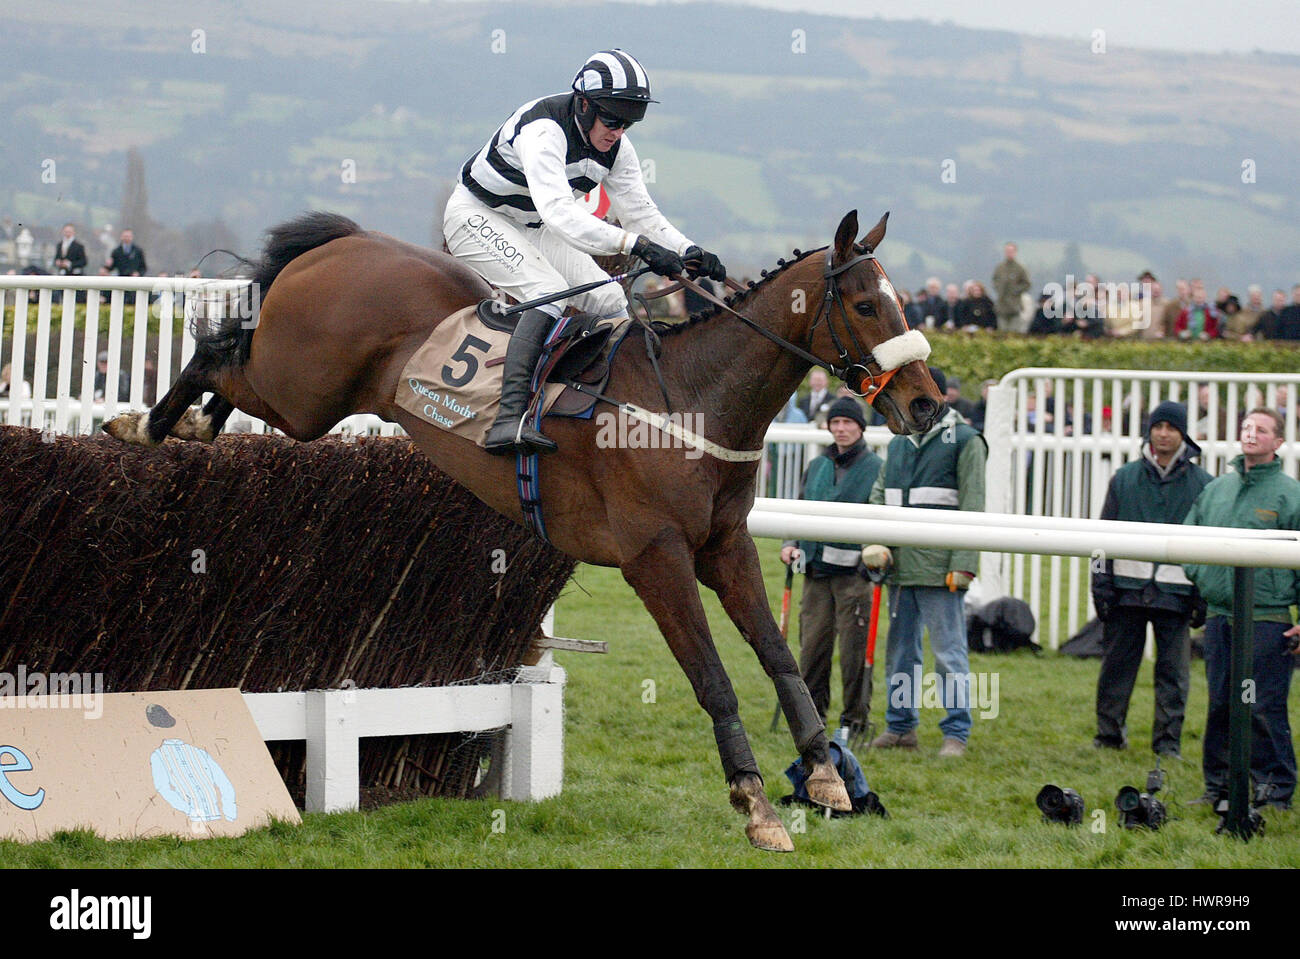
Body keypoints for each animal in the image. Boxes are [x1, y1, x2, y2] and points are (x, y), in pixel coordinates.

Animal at [98, 209, 935, 852]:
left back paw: (188, 427)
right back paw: (147, 425)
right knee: (217, 356)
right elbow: (714, 678)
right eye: (868, 305)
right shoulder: (655, 557)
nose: (927, 402)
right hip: (300, 391)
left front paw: (825, 774)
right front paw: (757, 805)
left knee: (228, 364)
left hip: (302, 395)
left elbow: (779, 656)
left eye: (903, 304)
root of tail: (345, 241)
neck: (692, 400)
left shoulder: (724, 548)